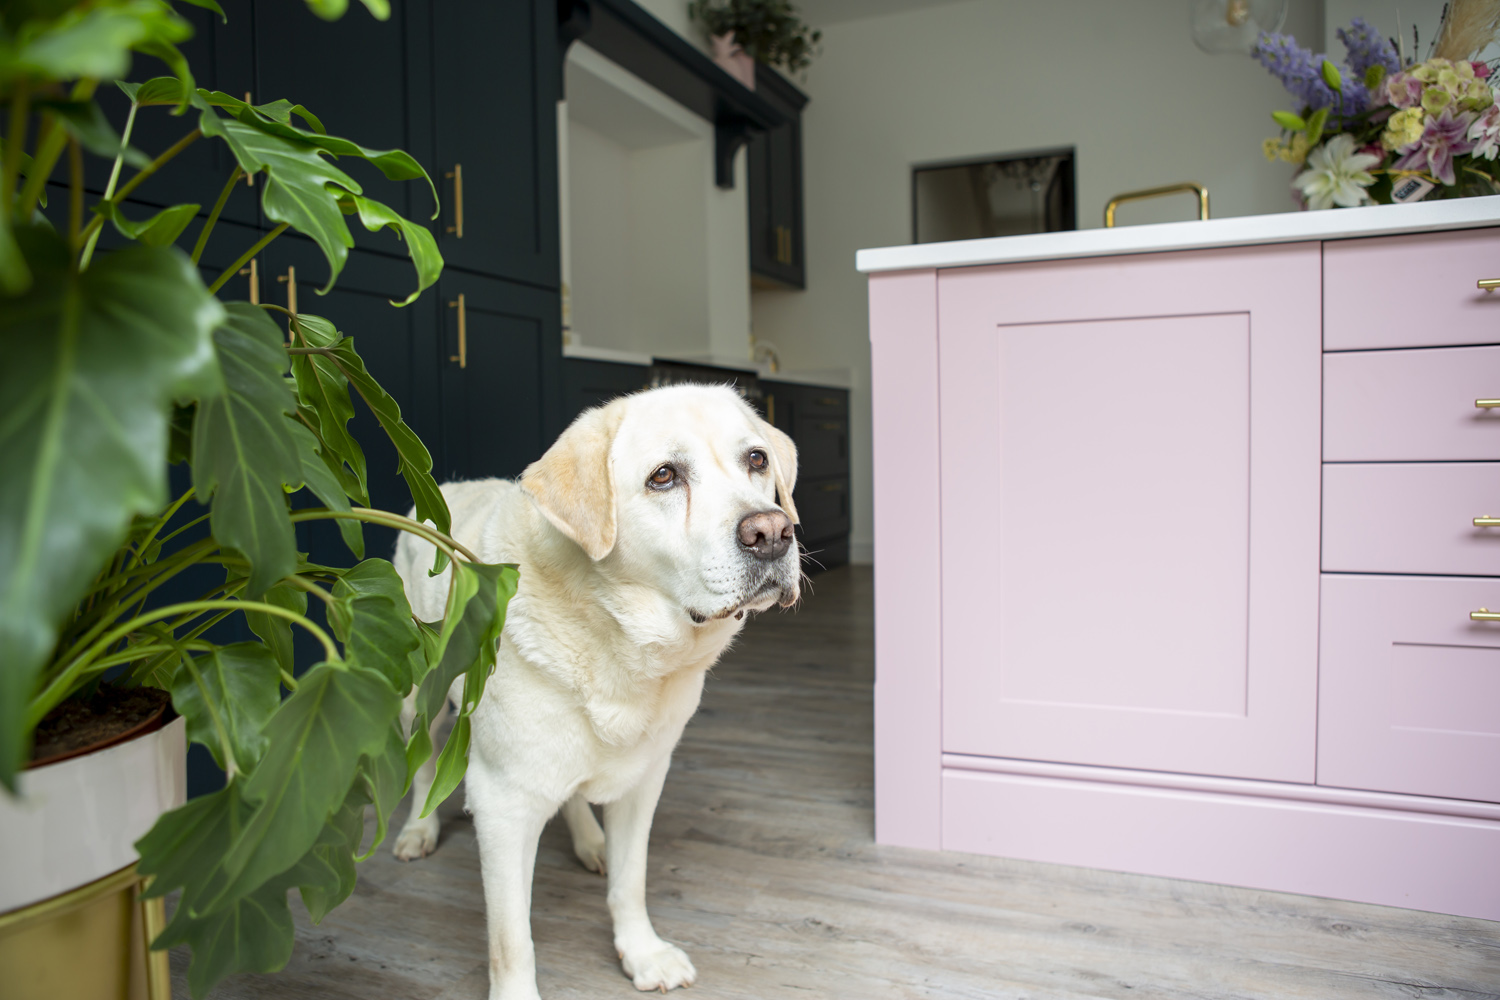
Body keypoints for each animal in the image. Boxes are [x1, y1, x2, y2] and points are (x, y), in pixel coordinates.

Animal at [393, 386, 804, 1000]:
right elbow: (511, 939)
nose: (773, 532)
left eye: (756, 459)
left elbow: (630, 882)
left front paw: (642, 953)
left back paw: (590, 842)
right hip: (419, 698)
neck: (619, 641)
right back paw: (419, 827)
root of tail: (441, 490)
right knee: (424, 764)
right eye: (664, 476)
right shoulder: (502, 804)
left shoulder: (645, 778)